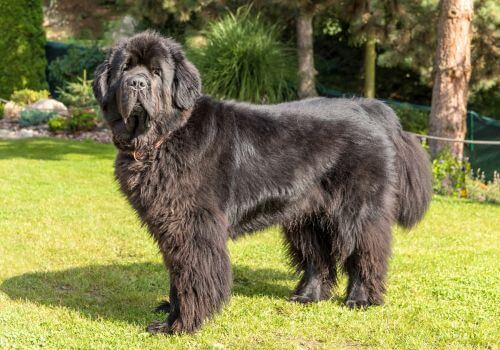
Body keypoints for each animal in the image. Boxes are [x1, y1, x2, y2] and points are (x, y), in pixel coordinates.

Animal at [92, 32, 432, 334]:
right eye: (125, 69)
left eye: (156, 72)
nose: (137, 82)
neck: (164, 138)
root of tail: (368, 107)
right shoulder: (170, 225)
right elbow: (178, 273)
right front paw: (172, 314)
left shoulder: (192, 226)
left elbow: (192, 275)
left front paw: (179, 325)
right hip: (307, 214)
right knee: (317, 256)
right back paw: (307, 296)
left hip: (358, 210)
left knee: (365, 250)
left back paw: (361, 299)